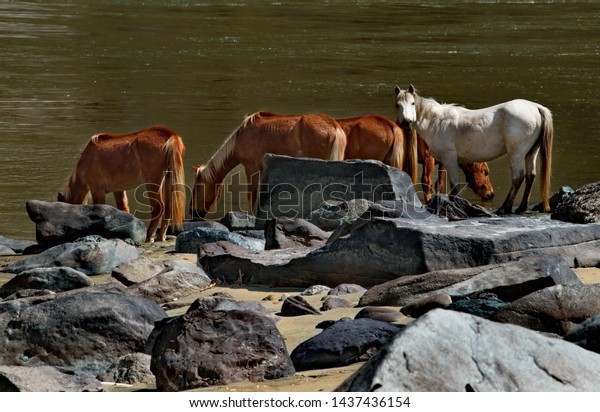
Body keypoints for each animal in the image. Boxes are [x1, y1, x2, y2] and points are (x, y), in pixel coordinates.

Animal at [188, 109, 346, 219]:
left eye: (197, 188)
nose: (192, 211)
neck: (241, 137)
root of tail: (334, 125)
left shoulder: (251, 168)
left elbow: (252, 196)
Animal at [394, 86, 552, 216]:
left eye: (412, 103)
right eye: (398, 105)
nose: (407, 123)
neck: (437, 121)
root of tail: (536, 107)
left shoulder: (449, 158)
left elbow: (454, 185)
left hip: (516, 154)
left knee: (518, 177)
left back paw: (505, 208)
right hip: (531, 152)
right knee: (530, 176)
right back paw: (521, 207)